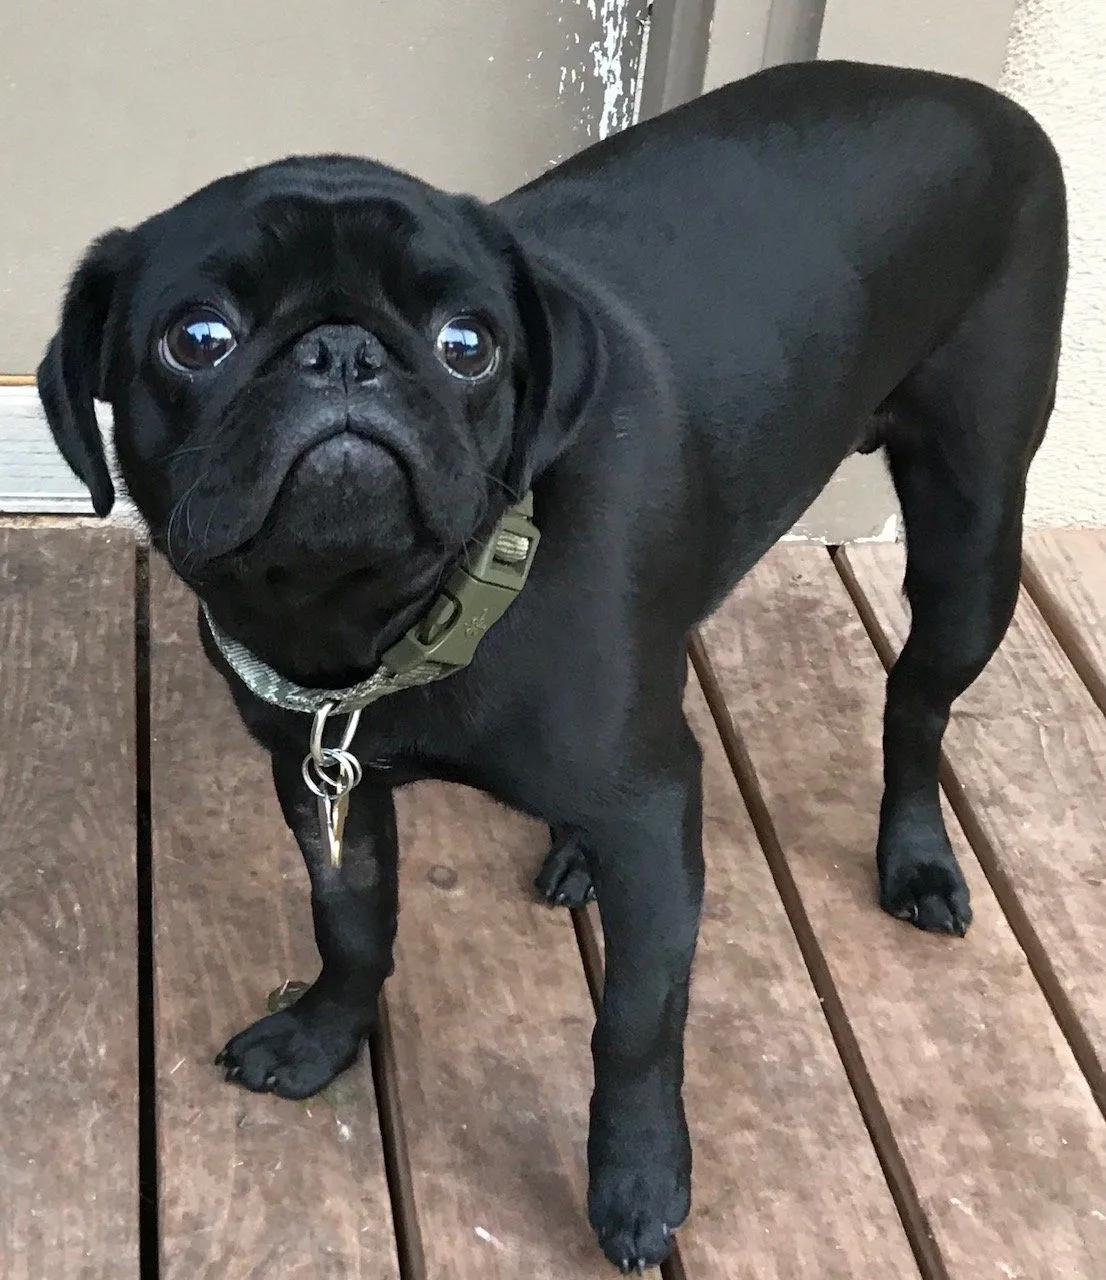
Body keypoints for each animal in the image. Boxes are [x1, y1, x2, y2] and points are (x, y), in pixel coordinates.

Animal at [38, 57, 1065, 1269]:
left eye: (467, 344)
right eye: (195, 338)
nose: (341, 352)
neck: (386, 624)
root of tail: (972, 96)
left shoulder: (651, 817)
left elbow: (635, 1020)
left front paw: (637, 1178)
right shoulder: (320, 782)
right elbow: (351, 926)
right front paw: (323, 1033)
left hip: (970, 542)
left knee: (915, 708)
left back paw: (915, 859)